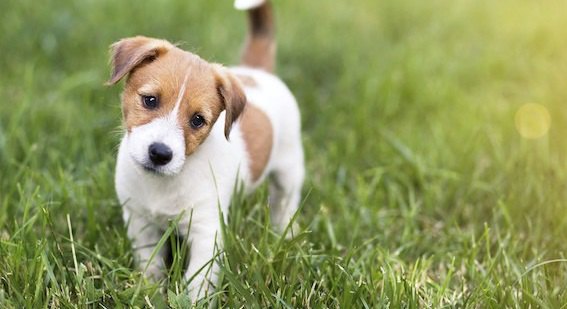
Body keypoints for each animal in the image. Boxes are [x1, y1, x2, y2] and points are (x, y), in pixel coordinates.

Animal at [105, 0, 304, 300]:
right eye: (150, 100)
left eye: (198, 120)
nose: (160, 153)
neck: (164, 183)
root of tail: (258, 73)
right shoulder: (140, 222)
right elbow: (150, 264)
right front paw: (151, 292)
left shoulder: (206, 232)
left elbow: (198, 280)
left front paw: (192, 301)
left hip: (289, 170)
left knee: (285, 203)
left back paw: (284, 235)